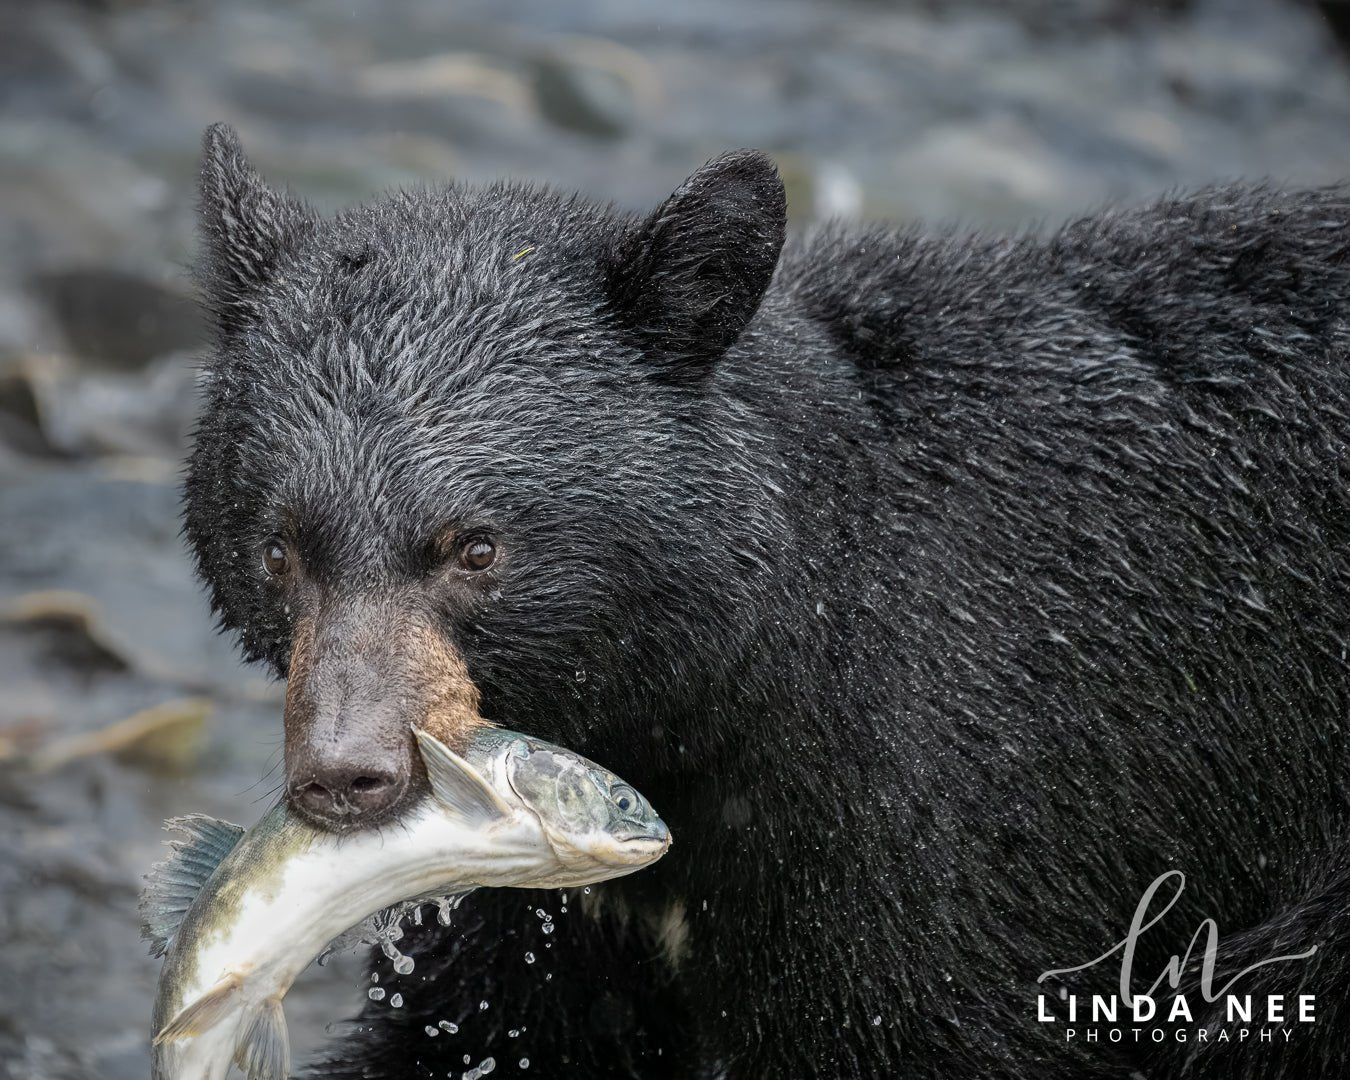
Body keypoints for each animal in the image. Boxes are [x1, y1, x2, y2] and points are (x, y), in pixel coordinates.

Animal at [182, 122, 1350, 1074]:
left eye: (474, 547)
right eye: (279, 548)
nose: (347, 775)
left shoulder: (943, 824)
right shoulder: (540, 906)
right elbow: (478, 1031)